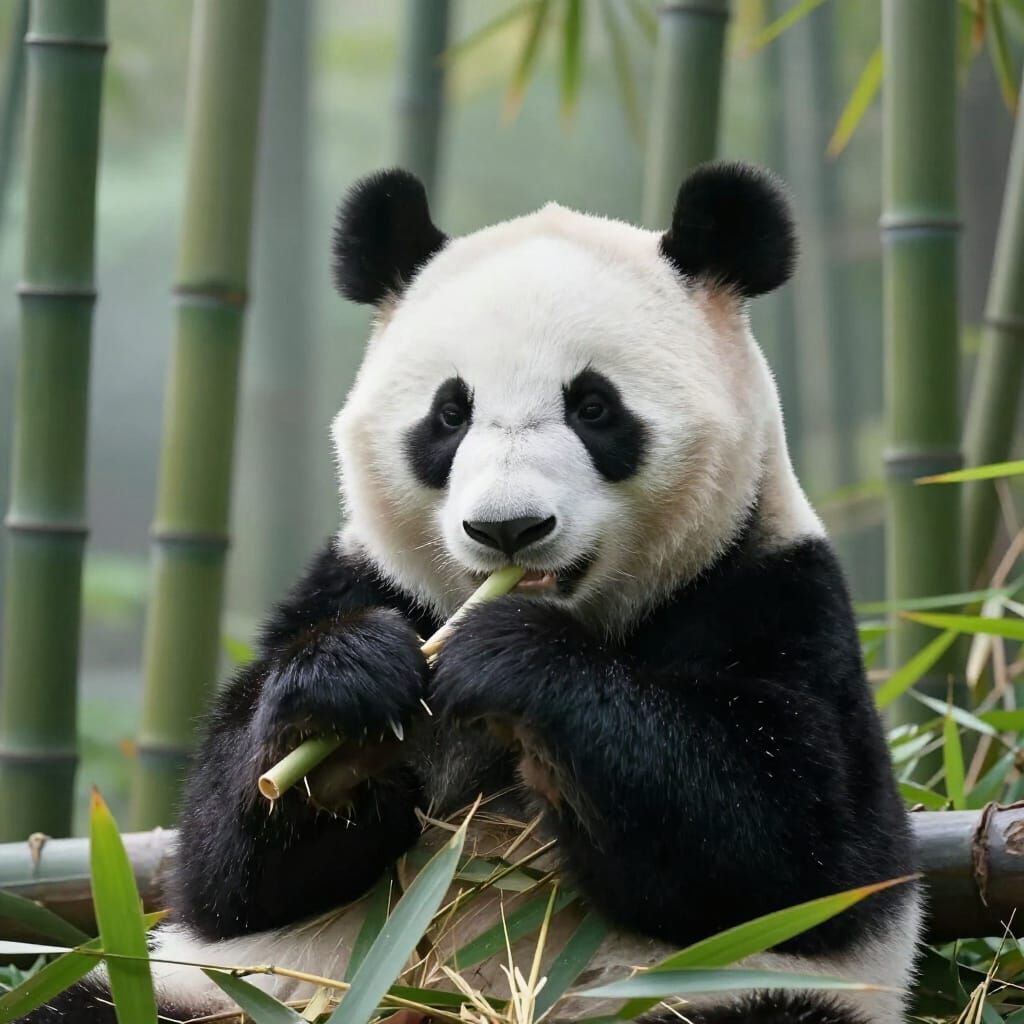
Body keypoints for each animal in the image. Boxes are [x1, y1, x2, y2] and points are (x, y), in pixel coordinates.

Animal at [26, 162, 920, 1023]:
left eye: (595, 406)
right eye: (449, 414)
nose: (508, 529)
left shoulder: (770, 591)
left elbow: (800, 844)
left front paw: (516, 663)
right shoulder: (357, 580)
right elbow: (222, 871)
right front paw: (339, 706)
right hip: (208, 994)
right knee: (90, 1001)